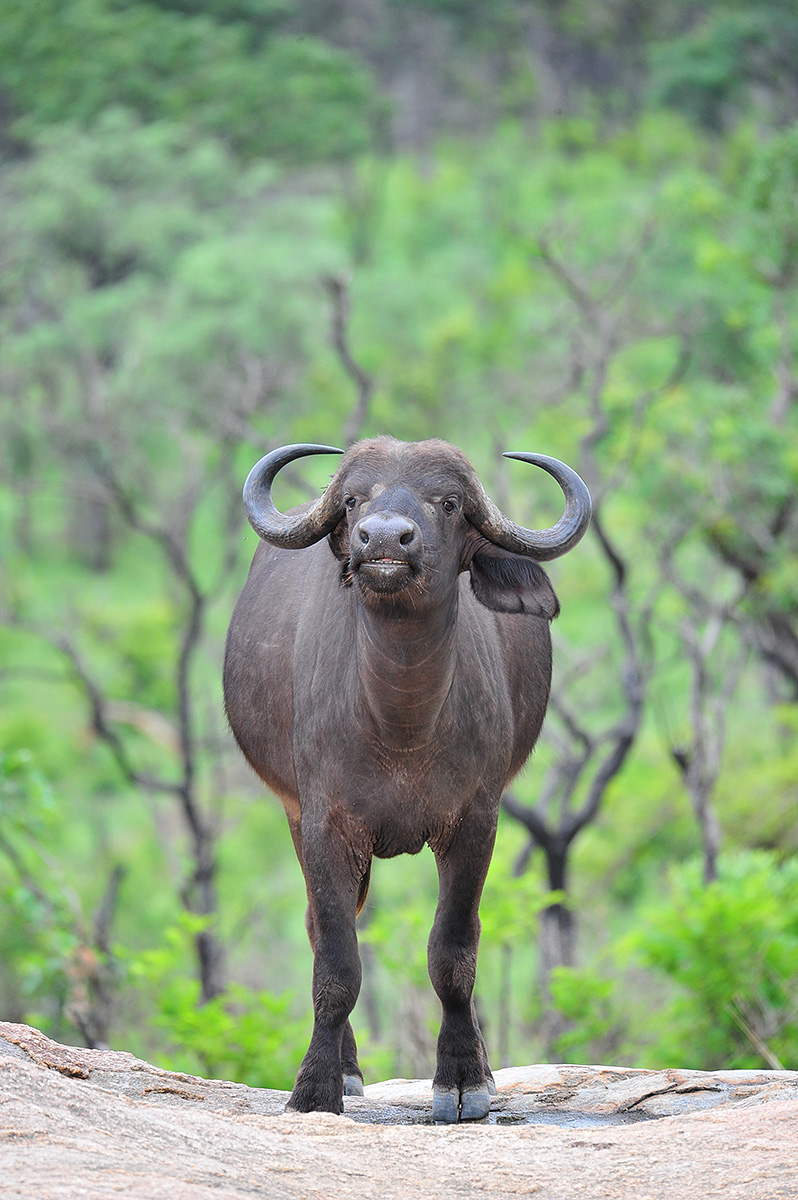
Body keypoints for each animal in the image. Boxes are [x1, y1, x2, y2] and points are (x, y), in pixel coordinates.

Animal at [223, 436, 591, 1122]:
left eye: (447, 502)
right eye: (351, 501)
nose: (385, 539)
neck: (401, 722)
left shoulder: (476, 820)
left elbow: (454, 950)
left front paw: (464, 1081)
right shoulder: (324, 821)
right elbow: (336, 960)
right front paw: (317, 1087)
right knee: (319, 929)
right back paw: (348, 1069)